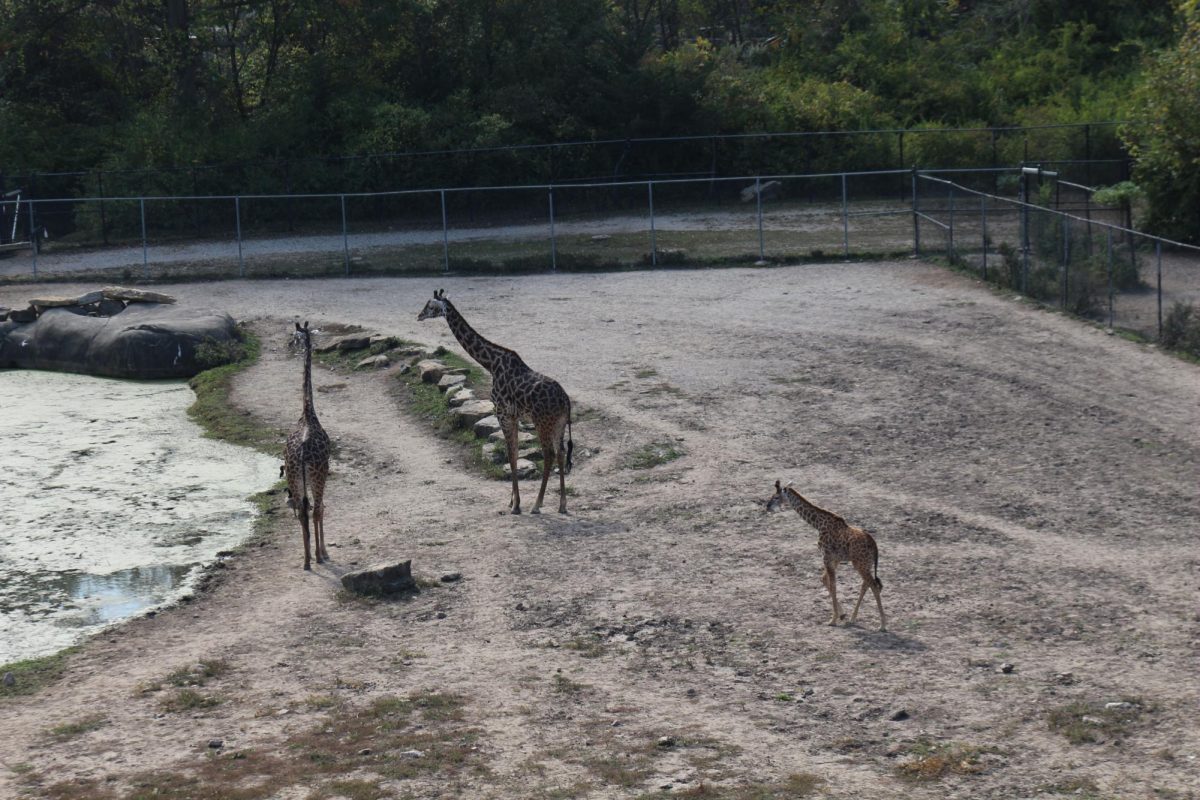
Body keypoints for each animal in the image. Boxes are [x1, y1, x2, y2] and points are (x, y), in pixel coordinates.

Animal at [420, 291, 573, 515]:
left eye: (430, 306)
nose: (419, 315)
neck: (491, 363)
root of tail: (566, 401)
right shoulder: (513, 416)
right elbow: (515, 453)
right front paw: (512, 501)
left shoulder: (502, 413)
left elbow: (510, 455)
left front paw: (516, 506)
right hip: (559, 424)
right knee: (560, 453)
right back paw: (562, 505)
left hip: (542, 422)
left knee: (549, 455)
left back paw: (537, 505)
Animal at [763, 482, 888, 633]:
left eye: (776, 497)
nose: (767, 507)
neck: (818, 524)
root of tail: (874, 545)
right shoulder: (835, 559)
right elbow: (824, 579)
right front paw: (842, 615)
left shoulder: (826, 557)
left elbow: (832, 584)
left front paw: (833, 619)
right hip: (865, 564)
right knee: (866, 584)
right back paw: (853, 618)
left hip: (860, 564)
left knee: (874, 585)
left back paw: (882, 625)